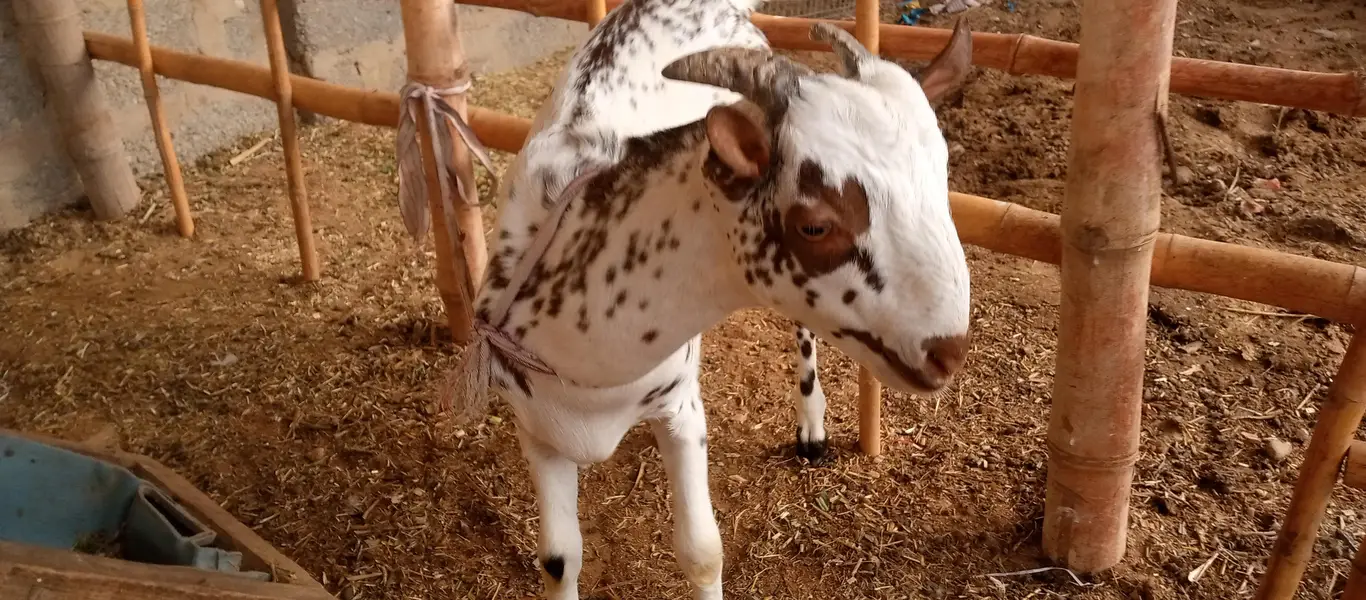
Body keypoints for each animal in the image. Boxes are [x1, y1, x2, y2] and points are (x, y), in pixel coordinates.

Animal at [442, 0, 975, 597]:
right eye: (815, 226)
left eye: (943, 182)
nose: (947, 350)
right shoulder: (536, 428)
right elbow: (559, 559)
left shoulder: (680, 409)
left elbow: (701, 552)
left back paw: (811, 429)